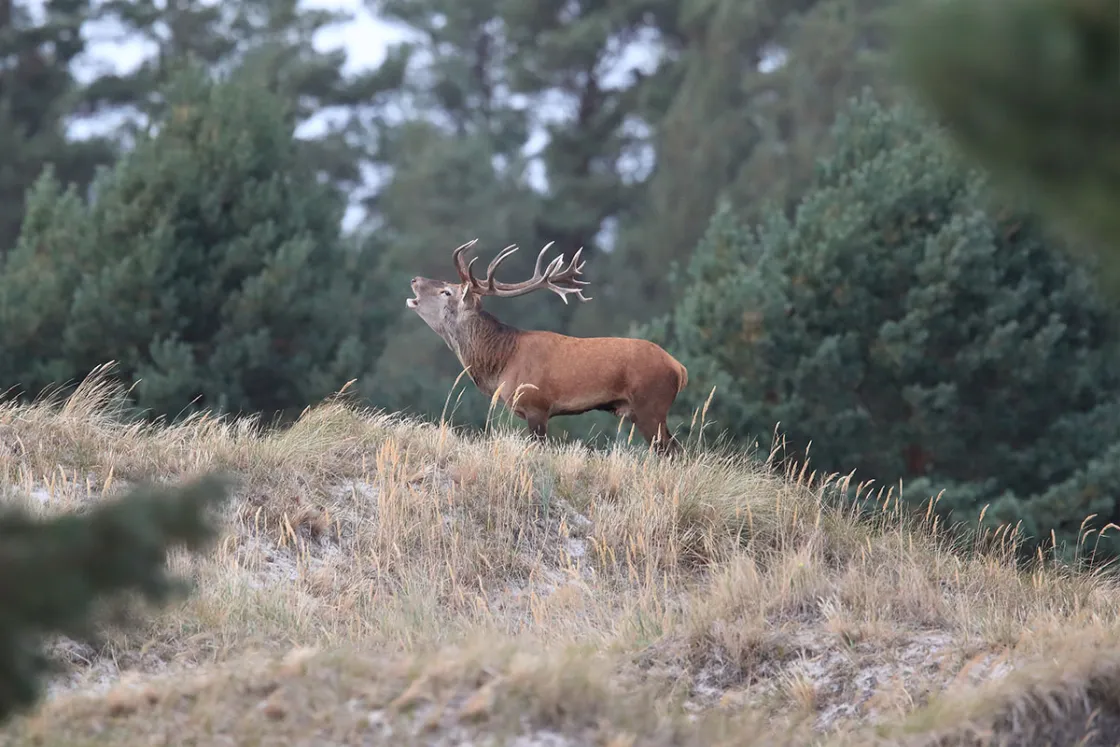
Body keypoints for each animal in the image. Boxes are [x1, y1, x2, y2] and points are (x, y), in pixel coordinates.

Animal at [405, 239, 689, 455]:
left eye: (447, 291)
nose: (415, 279)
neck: (501, 362)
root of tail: (679, 368)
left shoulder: (536, 405)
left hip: (650, 405)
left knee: (673, 450)